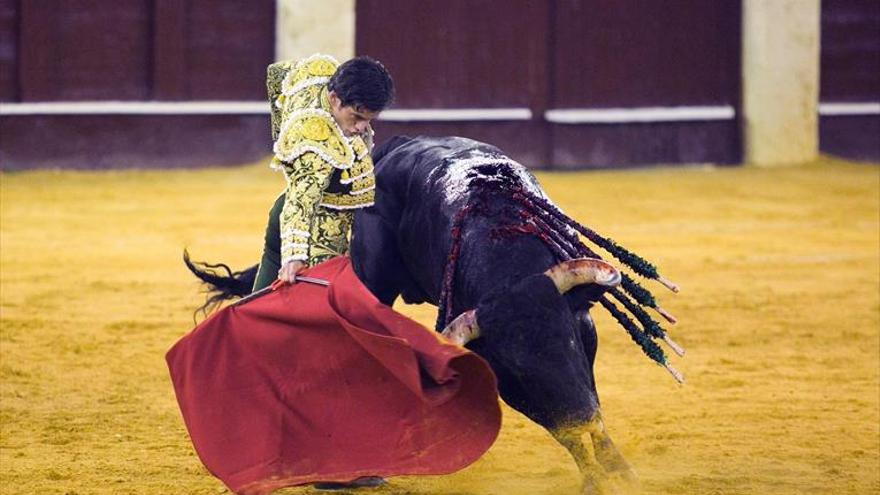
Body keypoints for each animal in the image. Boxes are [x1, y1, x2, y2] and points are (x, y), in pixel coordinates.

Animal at [184, 134, 680, 494]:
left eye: (571, 340)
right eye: (518, 367)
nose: (581, 414)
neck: (497, 232)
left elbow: (589, 408)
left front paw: (620, 472)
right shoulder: (513, 381)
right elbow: (563, 424)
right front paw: (598, 478)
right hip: (374, 279)